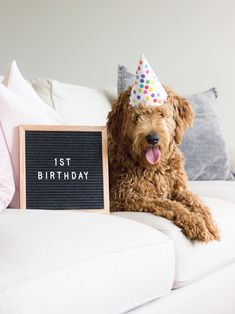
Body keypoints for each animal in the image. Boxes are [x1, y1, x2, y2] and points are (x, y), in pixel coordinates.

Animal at [107, 86, 220, 243]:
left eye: (161, 113)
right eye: (136, 117)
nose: (152, 138)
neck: (156, 169)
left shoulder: (179, 190)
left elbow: (197, 202)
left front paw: (208, 222)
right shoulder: (126, 197)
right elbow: (170, 204)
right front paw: (195, 223)